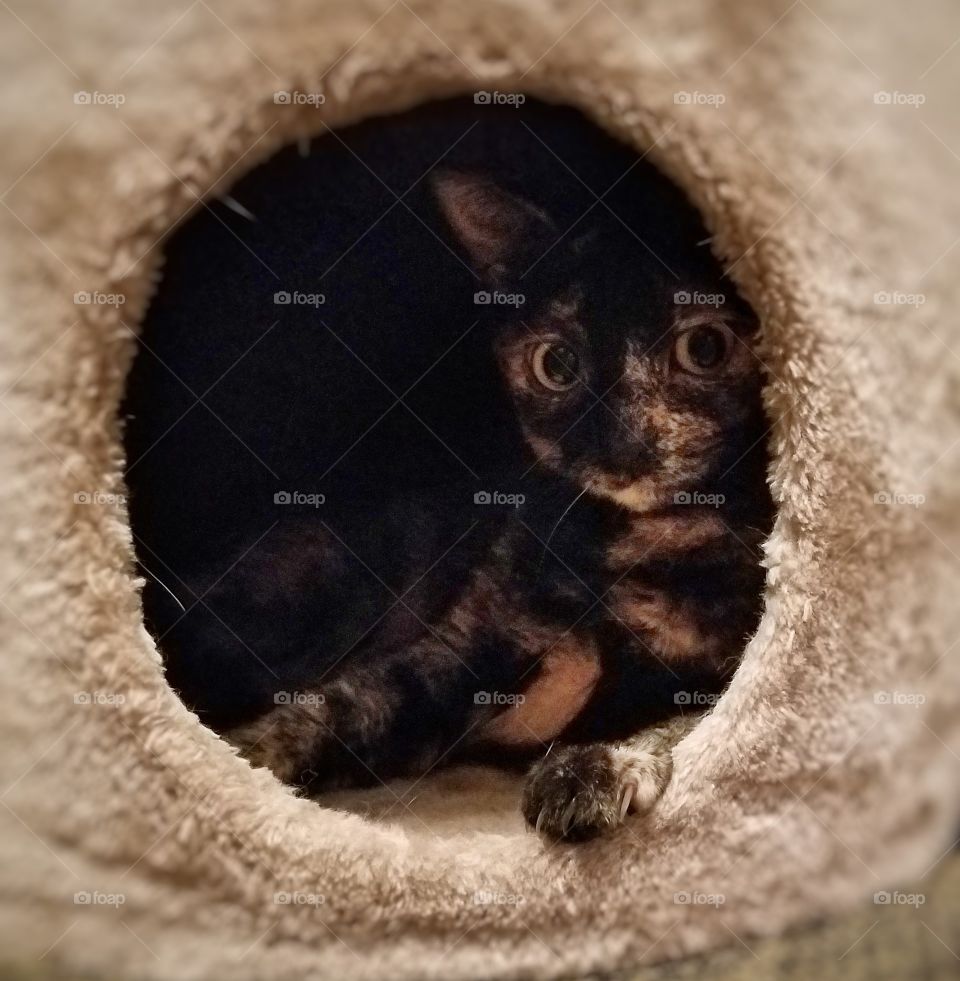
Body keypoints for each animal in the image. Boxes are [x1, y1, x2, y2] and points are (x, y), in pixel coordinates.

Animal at [122, 95, 772, 840]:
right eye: (556, 363)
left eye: (705, 347)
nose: (616, 446)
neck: (629, 545)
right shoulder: (454, 652)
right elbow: (334, 705)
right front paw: (241, 768)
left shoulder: (735, 669)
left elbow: (683, 718)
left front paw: (590, 765)